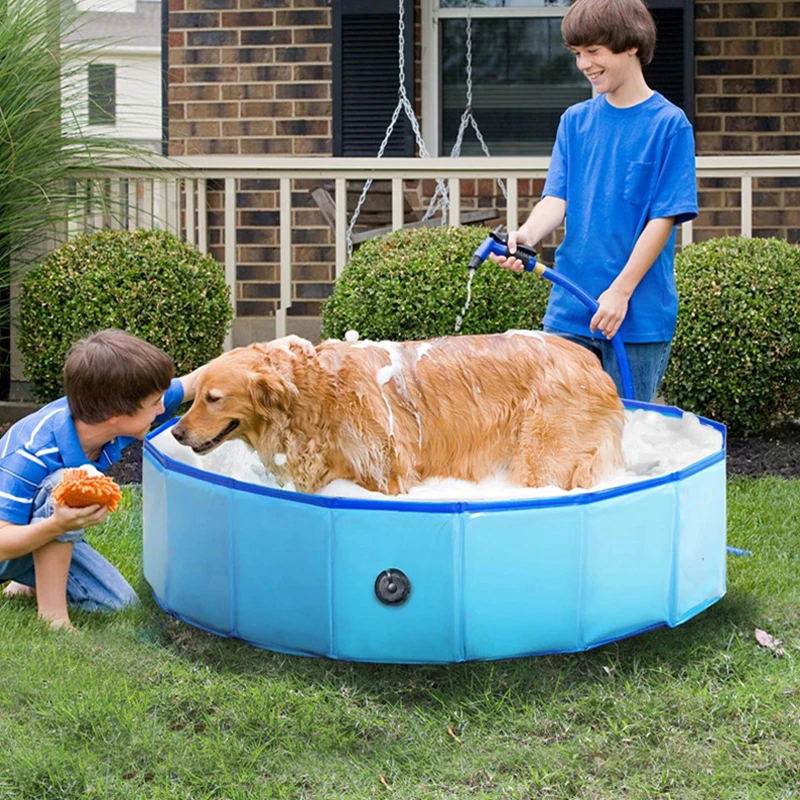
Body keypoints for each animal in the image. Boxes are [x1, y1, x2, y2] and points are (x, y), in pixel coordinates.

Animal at [173, 332, 624, 494]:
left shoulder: (388, 474)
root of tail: (592, 363)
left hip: (541, 457)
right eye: (195, 396)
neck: (318, 394)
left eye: (213, 398)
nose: (176, 433)